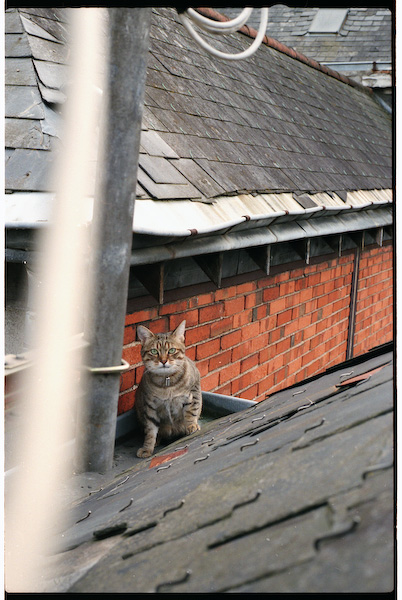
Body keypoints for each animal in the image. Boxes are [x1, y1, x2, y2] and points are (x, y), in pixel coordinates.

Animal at [135, 322, 203, 458]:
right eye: (154, 351)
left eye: (171, 350)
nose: (163, 361)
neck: (167, 384)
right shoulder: (151, 407)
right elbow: (150, 431)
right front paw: (147, 448)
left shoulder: (193, 392)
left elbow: (191, 411)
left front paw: (191, 426)